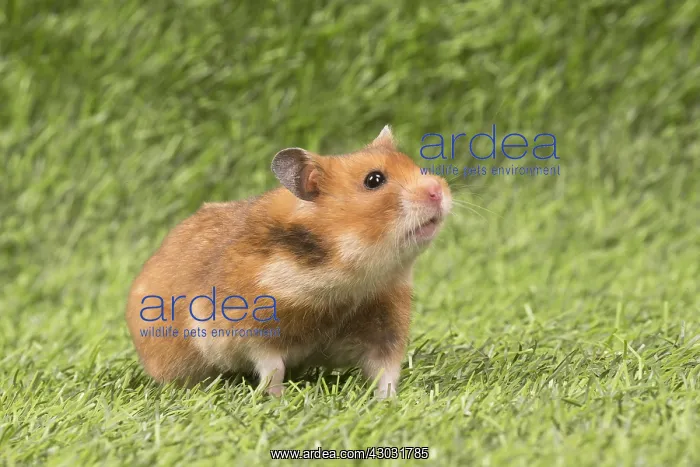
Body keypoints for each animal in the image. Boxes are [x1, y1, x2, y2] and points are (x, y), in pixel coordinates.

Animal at [125, 125, 452, 398]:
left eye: (416, 166)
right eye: (374, 180)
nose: (438, 190)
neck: (347, 276)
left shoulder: (385, 324)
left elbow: (386, 372)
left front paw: (390, 402)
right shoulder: (244, 330)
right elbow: (273, 369)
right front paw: (280, 400)